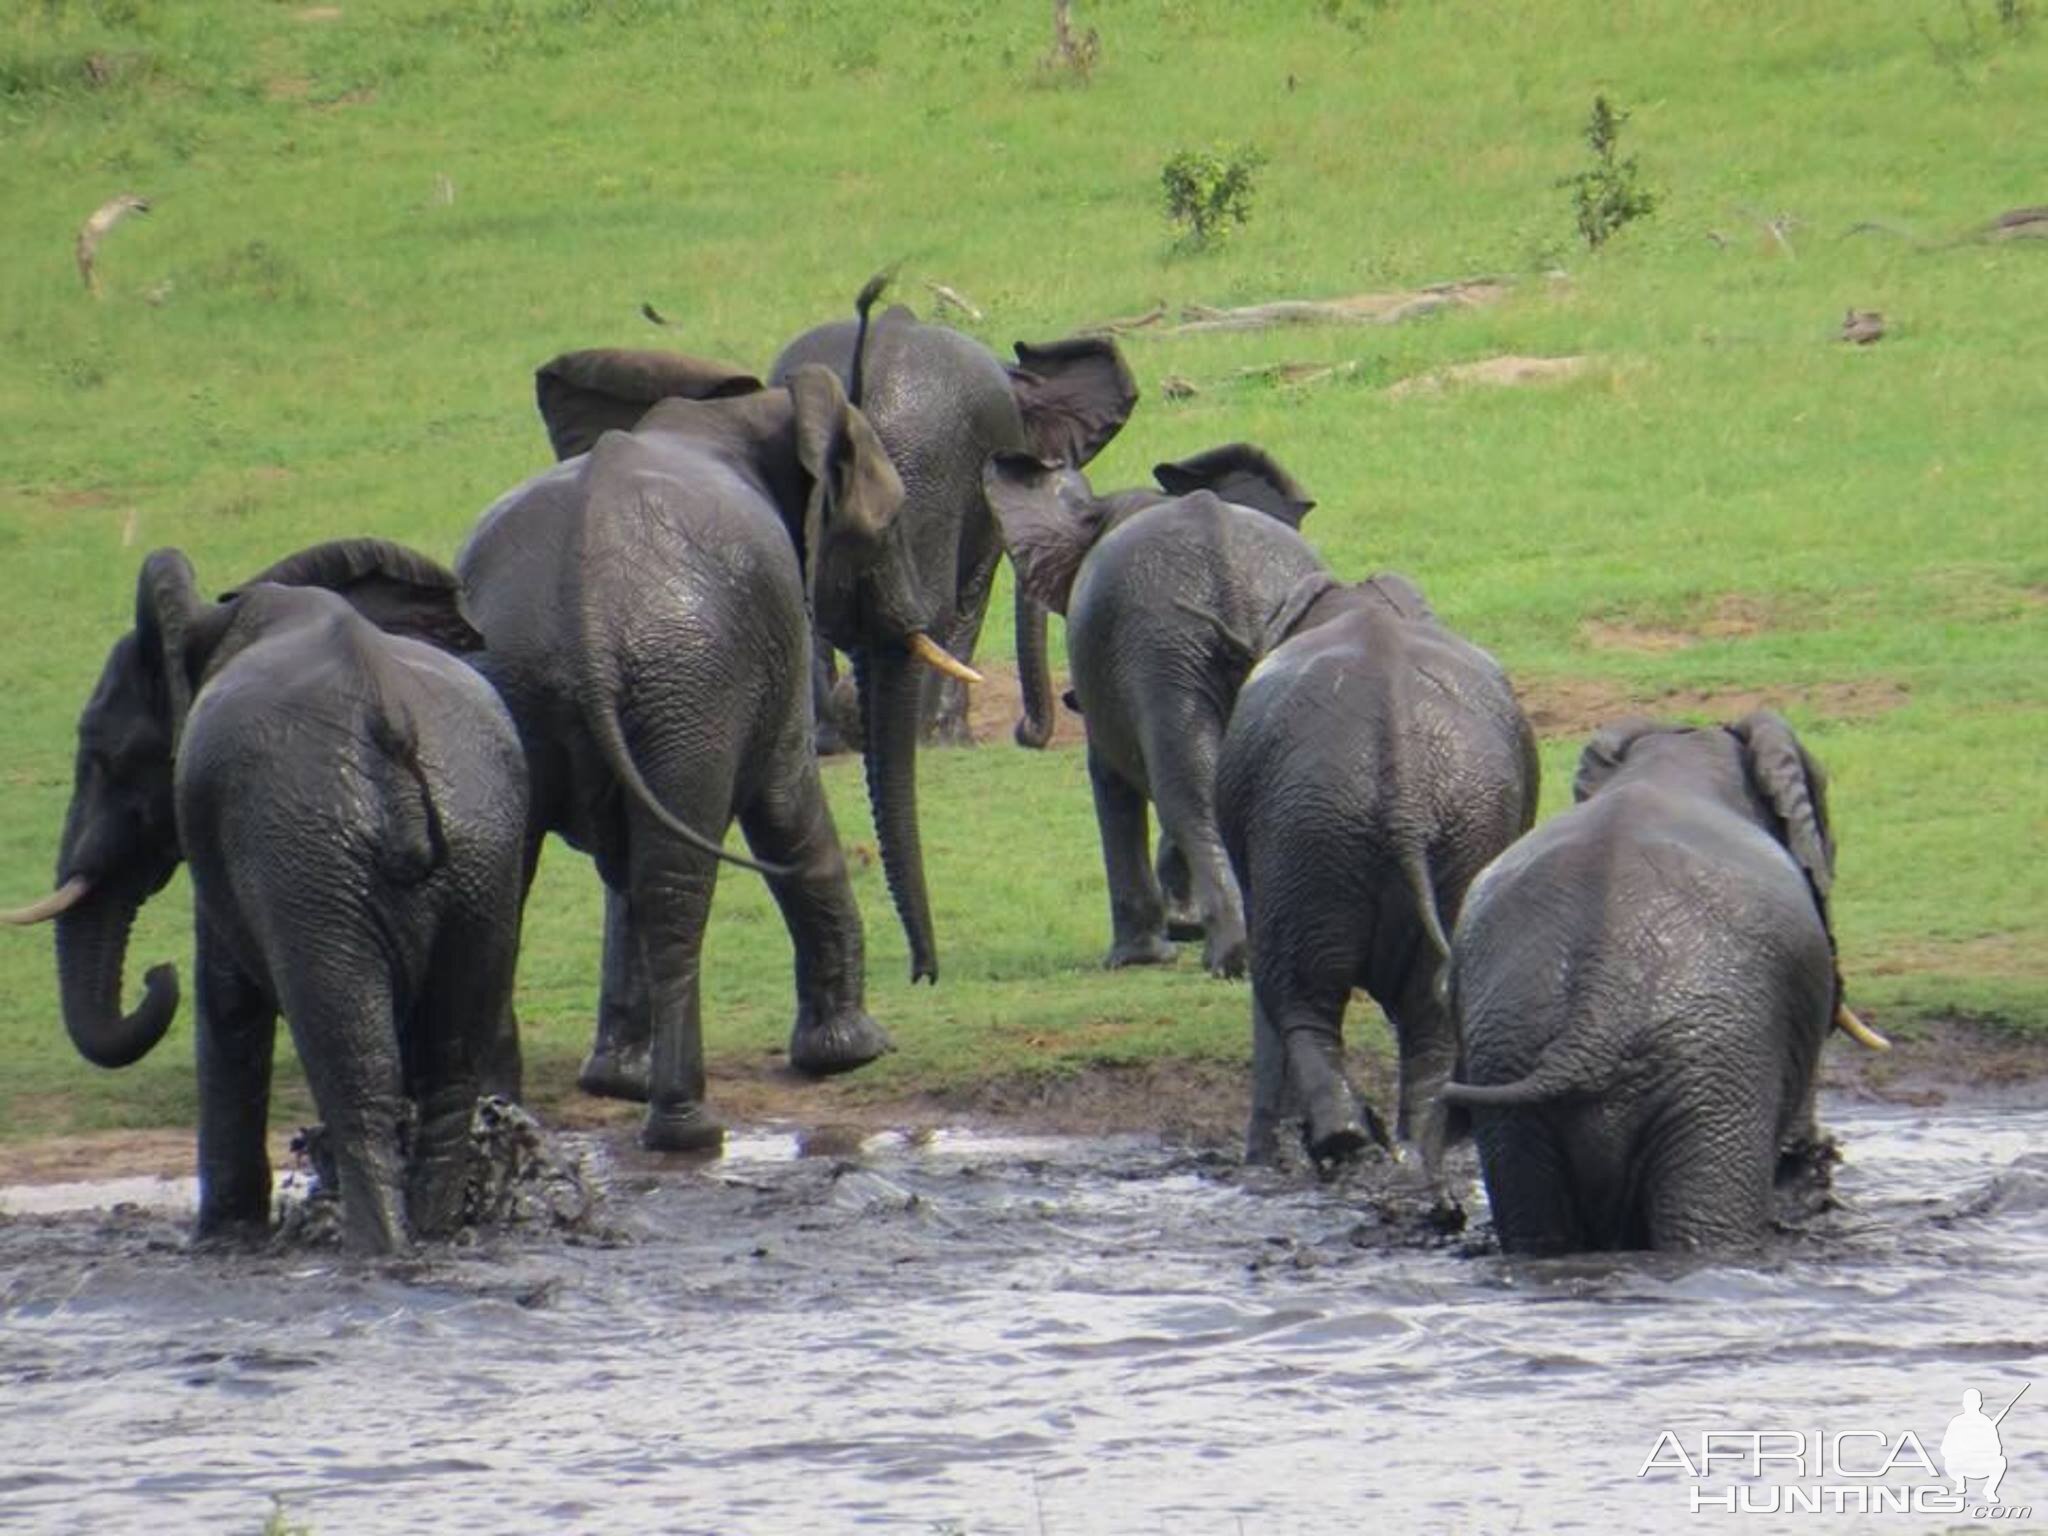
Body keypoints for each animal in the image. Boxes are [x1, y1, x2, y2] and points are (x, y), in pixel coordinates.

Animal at [2, 548, 528, 1253]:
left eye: (104, 756)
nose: (155, 973)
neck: (220, 616)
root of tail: (390, 721)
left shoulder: (226, 827)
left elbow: (226, 999)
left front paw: (221, 1239)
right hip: (482, 858)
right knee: (449, 1065)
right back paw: (435, 1235)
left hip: (314, 863)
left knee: (354, 1067)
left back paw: (376, 1246)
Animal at [774, 290, 1146, 753]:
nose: (1024, 731)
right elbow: (970, 594)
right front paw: (954, 739)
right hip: (922, 462)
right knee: (927, 601)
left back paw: (830, 741)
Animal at [978, 444, 1327, 974]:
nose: (1024, 728)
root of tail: (1229, 581)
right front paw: (1179, 929)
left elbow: (1109, 776)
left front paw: (1140, 956)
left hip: (1163, 646)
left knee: (1185, 789)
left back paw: (1229, 957)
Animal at [1212, 577, 1540, 1179]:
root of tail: (1406, 793)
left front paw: (1266, 1161)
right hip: (1453, 831)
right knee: (1427, 1013)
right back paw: (1404, 1151)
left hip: (1307, 832)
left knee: (1298, 997)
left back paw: (1343, 1142)